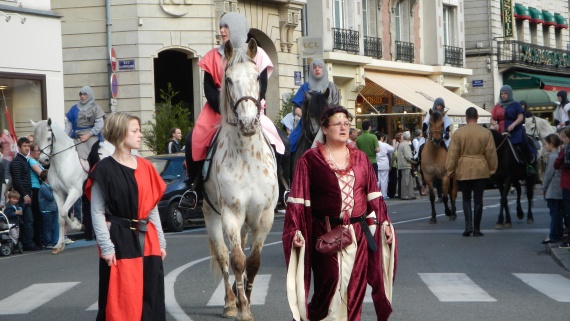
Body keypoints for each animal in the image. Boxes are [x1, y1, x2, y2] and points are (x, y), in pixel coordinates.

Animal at [202, 40, 278, 320]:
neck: (246, 155)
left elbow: (252, 262)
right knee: (223, 256)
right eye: (229, 79)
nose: (247, 123)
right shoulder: (231, 214)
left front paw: (248, 295)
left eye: (257, 76)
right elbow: (236, 260)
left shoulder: (265, 214)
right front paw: (243, 308)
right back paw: (229, 302)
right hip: (212, 216)